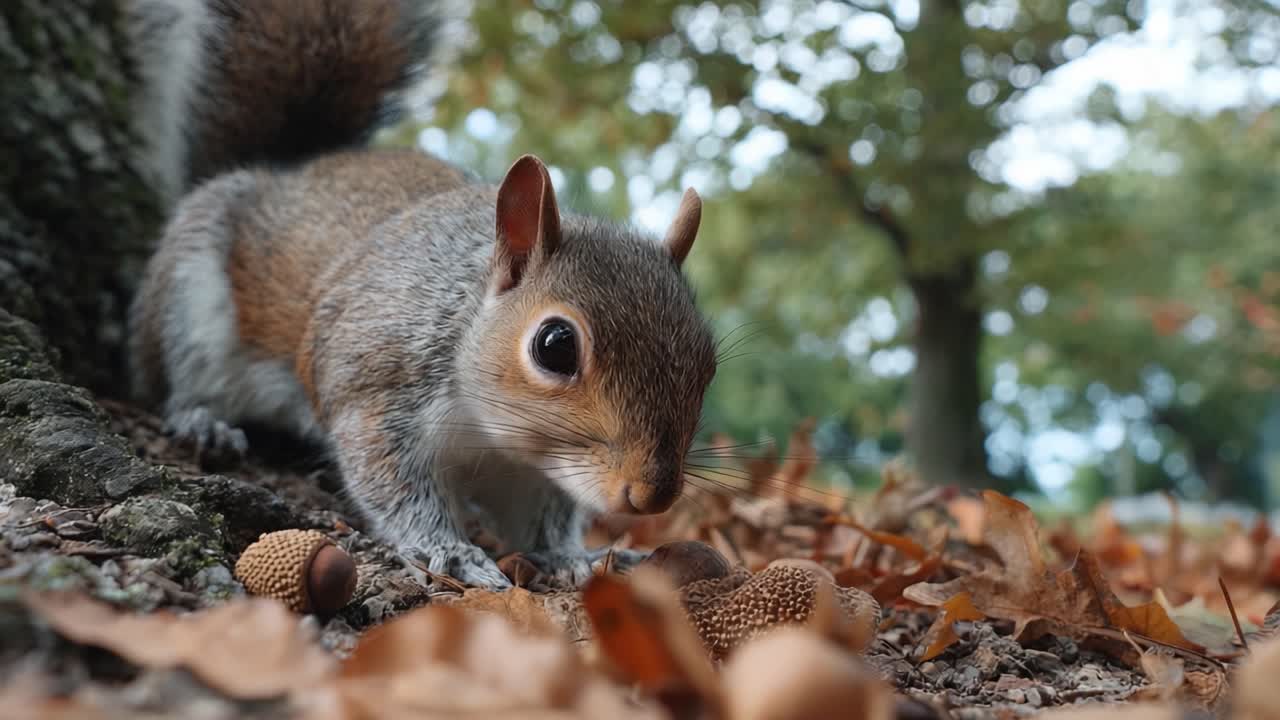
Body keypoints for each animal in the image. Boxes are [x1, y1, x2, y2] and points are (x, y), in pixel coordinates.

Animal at [121, 0, 718, 589]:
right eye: (555, 346)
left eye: (707, 363)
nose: (652, 495)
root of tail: (293, 168)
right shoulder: (376, 389)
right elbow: (393, 484)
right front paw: (450, 551)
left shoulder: (532, 469)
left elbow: (541, 518)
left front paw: (570, 556)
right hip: (189, 300)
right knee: (179, 378)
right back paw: (203, 420)